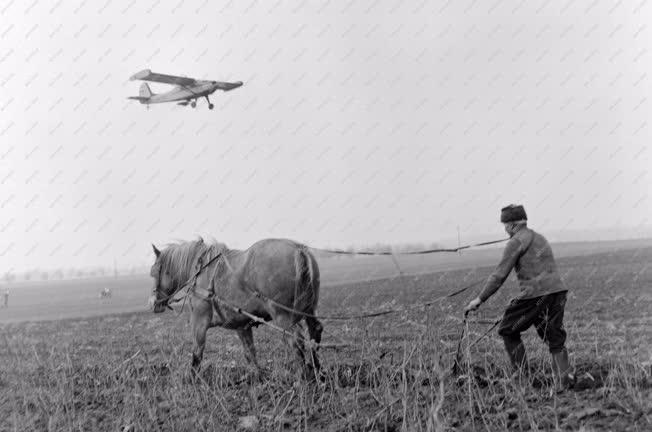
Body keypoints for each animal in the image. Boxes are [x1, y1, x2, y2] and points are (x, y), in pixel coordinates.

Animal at [146, 238, 322, 380]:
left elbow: (197, 352)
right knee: (314, 334)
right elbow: (250, 352)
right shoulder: (241, 325)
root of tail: (298, 249)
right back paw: (317, 372)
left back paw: (303, 378)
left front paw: (192, 379)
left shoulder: (199, 322)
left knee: (296, 340)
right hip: (308, 311)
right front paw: (258, 377)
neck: (200, 271)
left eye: (154, 272)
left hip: (283, 316)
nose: (154, 303)